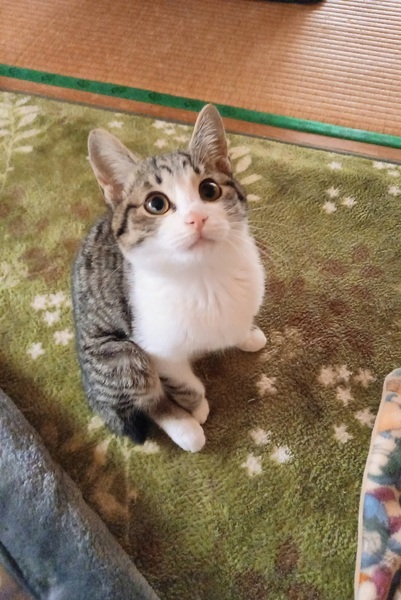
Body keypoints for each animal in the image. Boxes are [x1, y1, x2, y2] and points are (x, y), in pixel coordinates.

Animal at [72, 104, 266, 452]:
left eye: (209, 190)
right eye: (156, 203)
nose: (197, 217)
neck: (204, 277)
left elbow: (237, 324)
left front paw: (247, 335)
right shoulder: (157, 348)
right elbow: (182, 384)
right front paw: (195, 409)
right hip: (118, 355)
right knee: (145, 396)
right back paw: (185, 430)